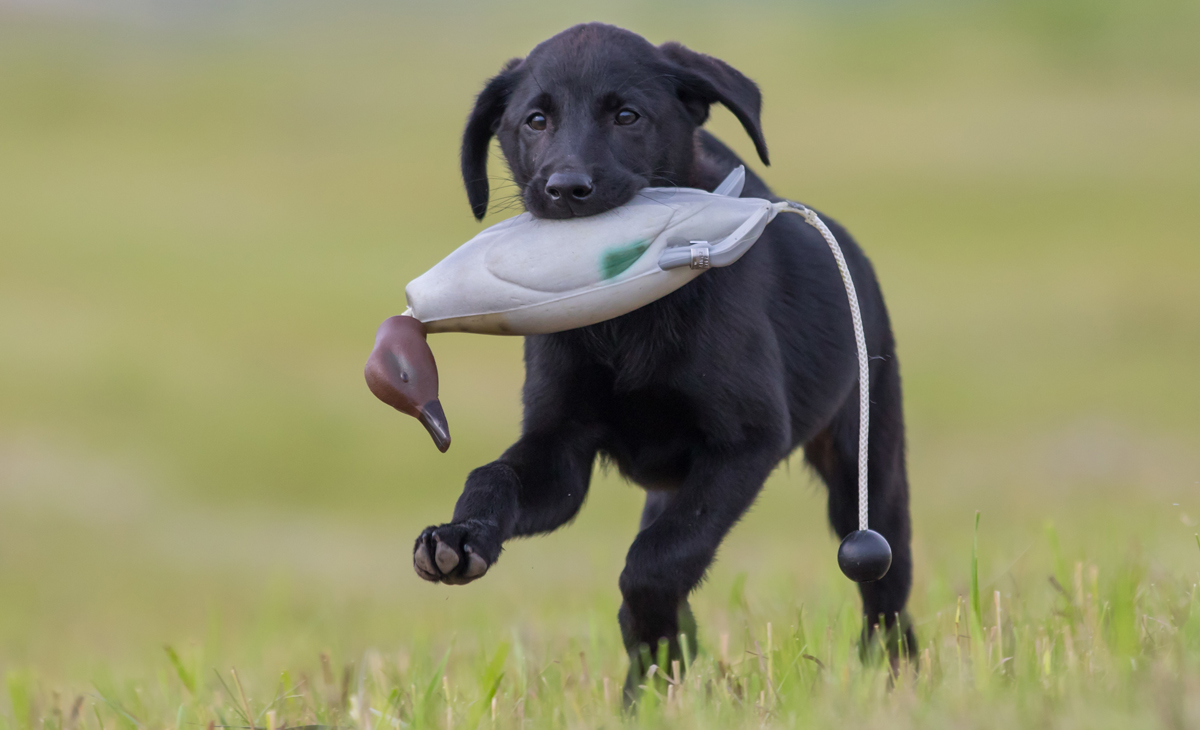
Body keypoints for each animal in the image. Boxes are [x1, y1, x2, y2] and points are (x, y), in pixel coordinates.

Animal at [415, 22, 916, 696]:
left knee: (888, 597)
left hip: (868, 471)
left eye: (628, 115)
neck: (626, 322)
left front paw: (655, 630)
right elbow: (493, 476)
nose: (566, 189)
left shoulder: (745, 444)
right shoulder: (560, 450)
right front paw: (461, 537)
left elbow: (657, 561)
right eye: (535, 120)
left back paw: (896, 677)